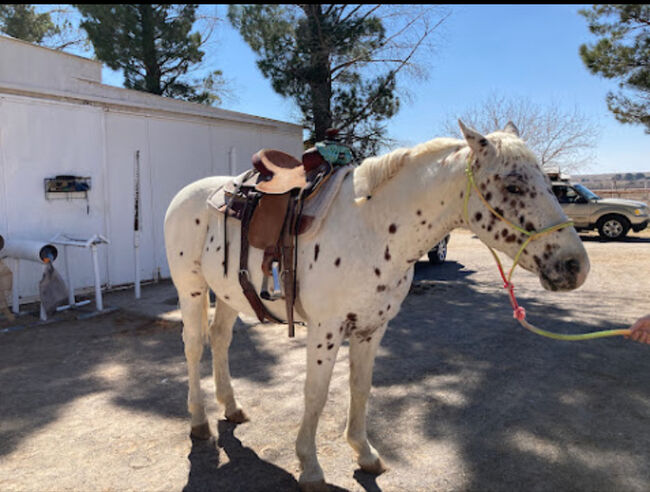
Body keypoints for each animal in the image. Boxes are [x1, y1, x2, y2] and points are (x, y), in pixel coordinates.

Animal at [163, 121, 588, 490]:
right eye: (513, 185)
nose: (576, 266)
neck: (374, 226)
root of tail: (189, 193)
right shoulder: (326, 330)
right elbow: (316, 393)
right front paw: (310, 467)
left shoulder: (371, 327)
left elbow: (361, 386)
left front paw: (364, 453)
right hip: (192, 289)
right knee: (194, 345)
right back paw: (199, 421)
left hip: (230, 293)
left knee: (220, 339)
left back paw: (231, 407)